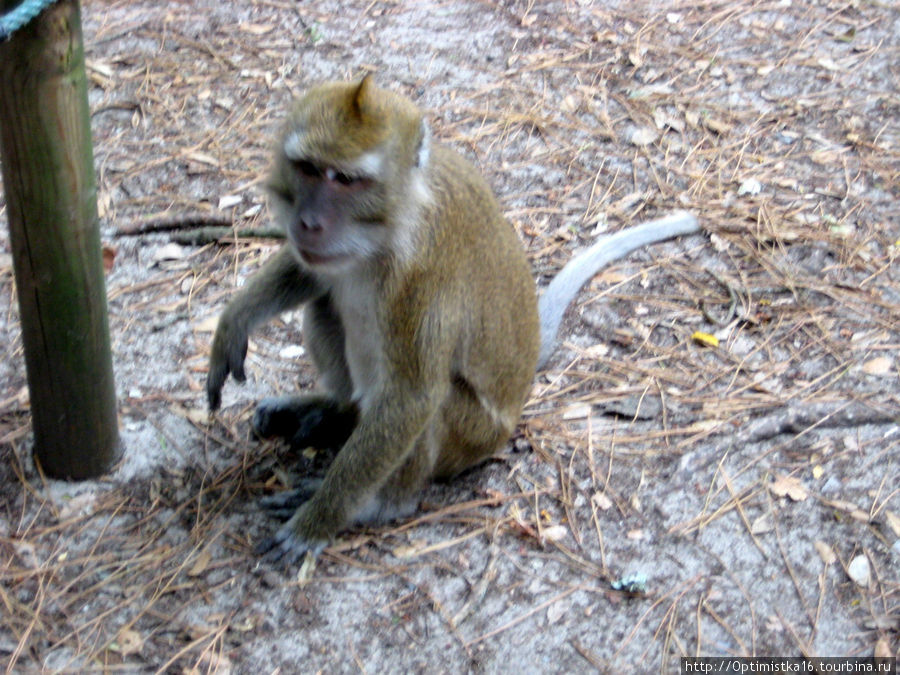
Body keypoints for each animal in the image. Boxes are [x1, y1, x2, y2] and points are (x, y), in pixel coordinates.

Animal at [206, 75, 704, 564]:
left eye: (346, 179)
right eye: (308, 168)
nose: (309, 222)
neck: (387, 233)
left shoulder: (423, 279)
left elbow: (412, 399)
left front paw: (319, 519)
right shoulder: (330, 252)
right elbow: (311, 273)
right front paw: (233, 322)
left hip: (475, 436)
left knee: (433, 401)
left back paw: (381, 502)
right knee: (327, 307)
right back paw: (333, 412)